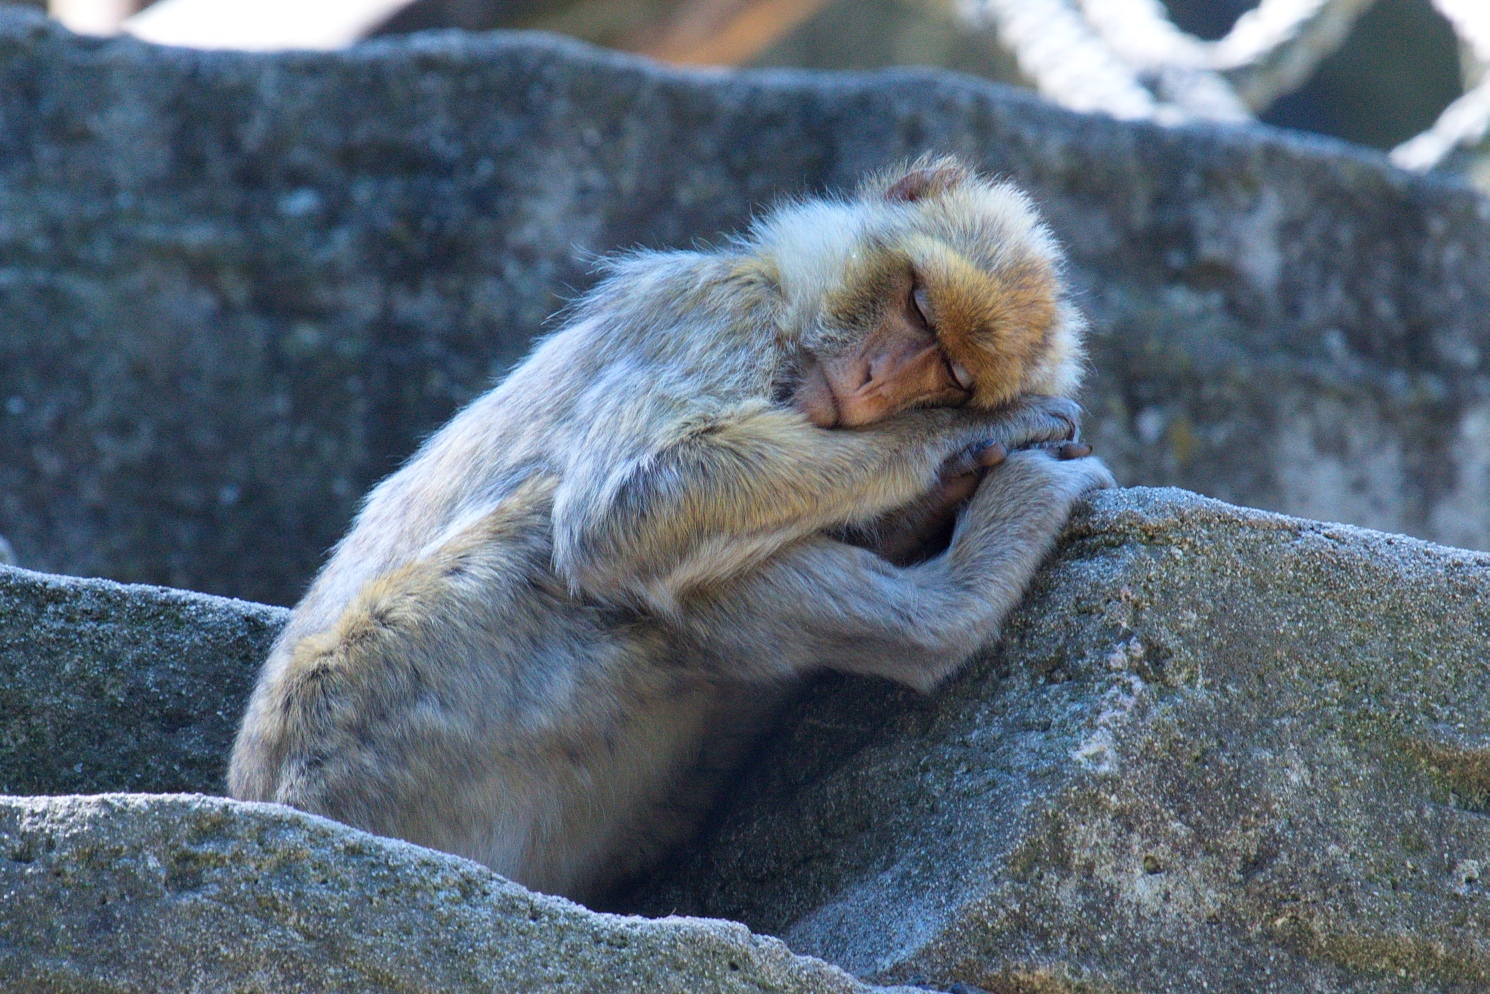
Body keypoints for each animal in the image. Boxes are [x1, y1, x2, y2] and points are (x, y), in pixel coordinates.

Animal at [226, 153, 1114, 900]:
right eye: (920, 306)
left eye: (952, 373)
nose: (873, 381)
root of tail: (276, 793)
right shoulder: (724, 311)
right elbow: (625, 506)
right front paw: (956, 444)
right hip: (392, 697)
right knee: (568, 541)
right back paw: (954, 605)